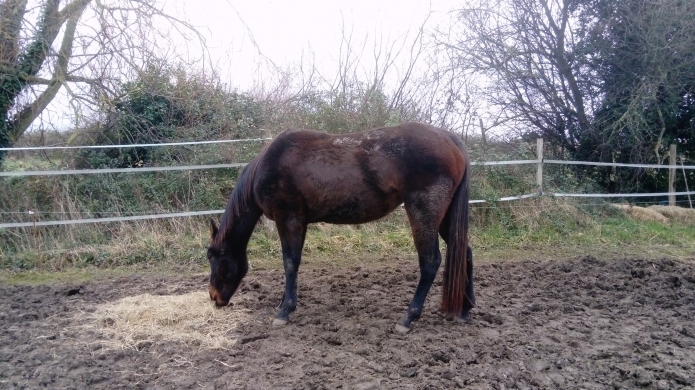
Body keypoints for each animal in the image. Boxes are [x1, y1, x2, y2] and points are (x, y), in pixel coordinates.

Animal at [207, 122, 476, 332]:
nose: (214, 297)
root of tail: (451, 140)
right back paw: (465, 309)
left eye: (216, 258)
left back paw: (408, 318)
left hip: (424, 213)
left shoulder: (289, 219)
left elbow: (290, 263)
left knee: (430, 262)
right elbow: (294, 263)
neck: (269, 164)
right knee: (465, 251)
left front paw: (284, 312)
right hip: (445, 218)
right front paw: (284, 303)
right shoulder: (300, 222)